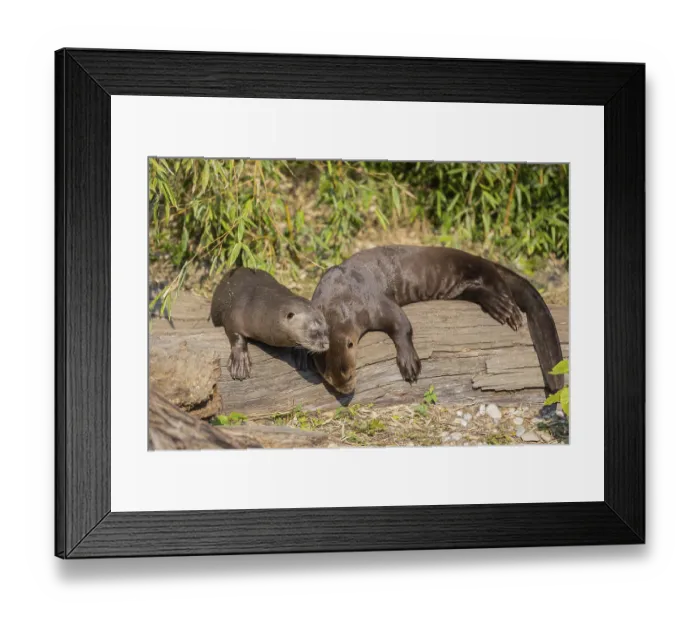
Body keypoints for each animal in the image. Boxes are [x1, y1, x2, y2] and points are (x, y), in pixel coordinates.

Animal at [310, 245, 564, 396]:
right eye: (331, 381)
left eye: (349, 374)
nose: (346, 390)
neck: (339, 301)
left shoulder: (369, 304)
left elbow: (402, 324)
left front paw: (409, 362)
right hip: (459, 289)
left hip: (483, 270)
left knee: (501, 288)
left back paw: (506, 309)